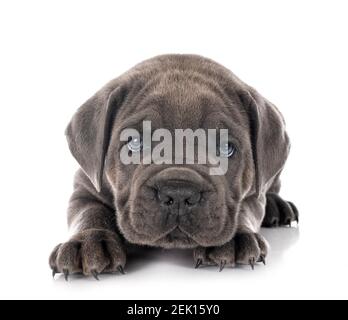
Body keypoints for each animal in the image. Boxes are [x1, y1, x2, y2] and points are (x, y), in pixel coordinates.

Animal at [49, 53, 300, 278]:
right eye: (135, 142)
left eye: (225, 147)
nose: (179, 194)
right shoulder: (86, 187)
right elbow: (90, 212)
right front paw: (88, 242)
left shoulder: (253, 194)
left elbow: (243, 208)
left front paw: (236, 238)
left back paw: (278, 206)